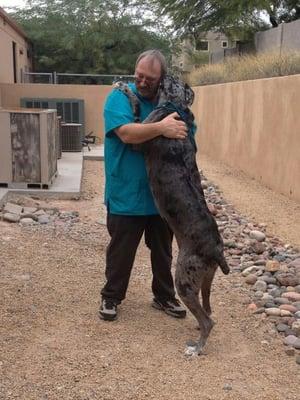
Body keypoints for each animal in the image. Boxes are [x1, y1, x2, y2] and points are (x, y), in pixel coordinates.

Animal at [115, 76, 230, 356]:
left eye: (176, 81)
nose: (167, 75)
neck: (175, 106)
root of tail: (216, 251)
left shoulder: (139, 137)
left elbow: (134, 110)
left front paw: (123, 89)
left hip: (184, 281)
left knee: (208, 320)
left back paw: (197, 348)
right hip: (205, 280)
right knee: (208, 309)